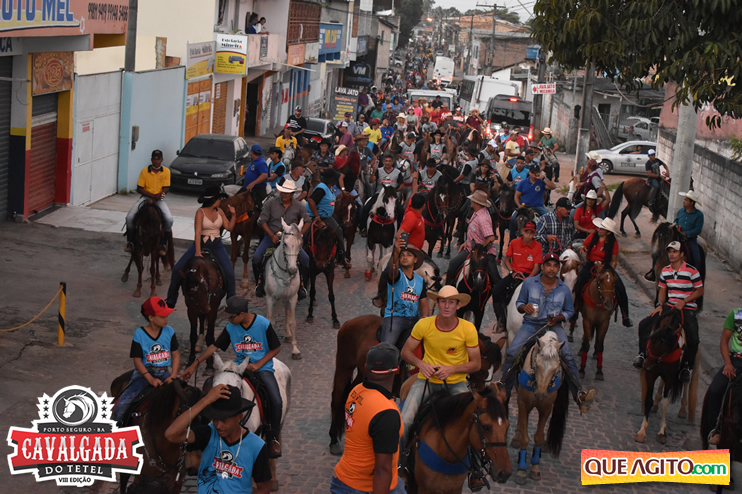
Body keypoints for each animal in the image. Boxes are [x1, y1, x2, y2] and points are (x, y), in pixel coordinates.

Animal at [265, 219, 304, 360]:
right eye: (285, 244)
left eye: (300, 244)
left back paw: (287, 334)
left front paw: (295, 349)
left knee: (286, 312)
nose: (292, 270)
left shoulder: (293, 297)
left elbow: (292, 322)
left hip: (286, 298)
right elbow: (270, 320)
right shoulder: (270, 298)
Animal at [329, 315, 503, 456]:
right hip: (344, 366)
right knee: (337, 399)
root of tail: (350, 322)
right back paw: (333, 441)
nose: (484, 391)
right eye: (482, 369)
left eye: (496, 369)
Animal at [510, 331, 569, 485]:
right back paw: (516, 437)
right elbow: (525, 437)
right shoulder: (524, 403)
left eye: (555, 369)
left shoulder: (546, 408)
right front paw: (521, 470)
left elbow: (538, 437)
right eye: (537, 365)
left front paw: (535, 468)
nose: (540, 394)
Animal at [635, 309, 685, 444]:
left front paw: (662, 431)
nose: (646, 364)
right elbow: (648, 400)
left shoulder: (670, 377)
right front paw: (642, 431)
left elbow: (665, 403)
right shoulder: (651, 374)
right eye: (650, 341)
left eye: (664, 348)